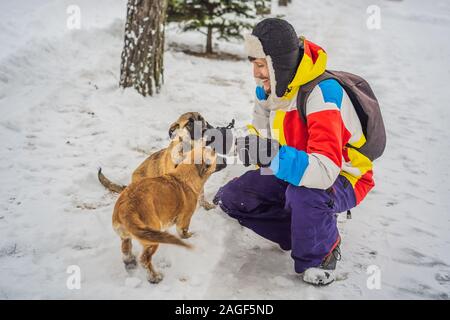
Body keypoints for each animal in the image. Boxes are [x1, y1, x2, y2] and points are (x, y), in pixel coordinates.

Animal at [112, 142, 221, 282]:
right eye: (214, 156)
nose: (215, 148)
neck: (184, 176)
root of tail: (126, 209)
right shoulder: (184, 220)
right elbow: (183, 233)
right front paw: (191, 237)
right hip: (151, 239)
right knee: (144, 260)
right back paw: (154, 277)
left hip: (125, 236)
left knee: (126, 249)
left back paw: (130, 261)